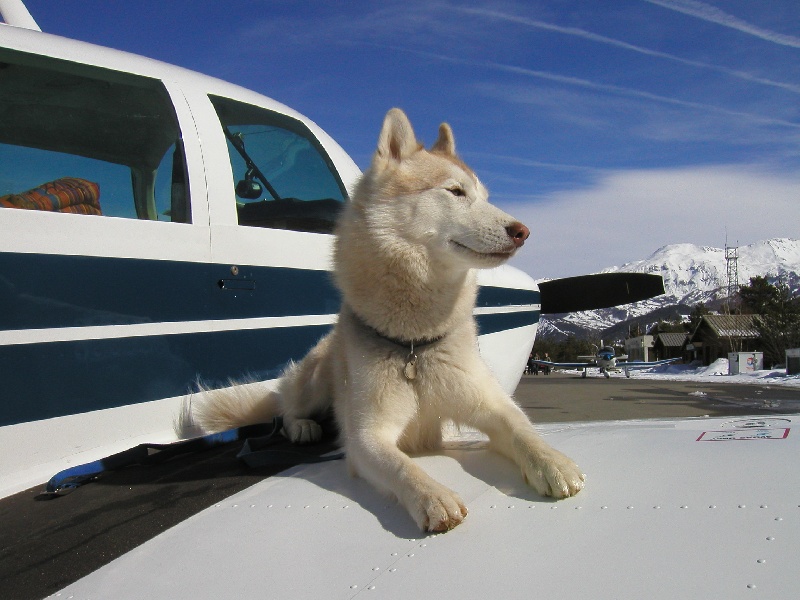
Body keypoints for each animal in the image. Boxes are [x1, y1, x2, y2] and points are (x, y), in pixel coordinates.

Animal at [191, 108, 584, 528]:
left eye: (486, 197)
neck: (414, 346)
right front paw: (433, 497)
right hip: (316, 380)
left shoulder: (488, 404)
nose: (522, 231)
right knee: (287, 408)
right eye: (456, 192)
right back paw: (303, 426)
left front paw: (554, 463)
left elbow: (522, 430)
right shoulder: (367, 436)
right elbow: (402, 466)